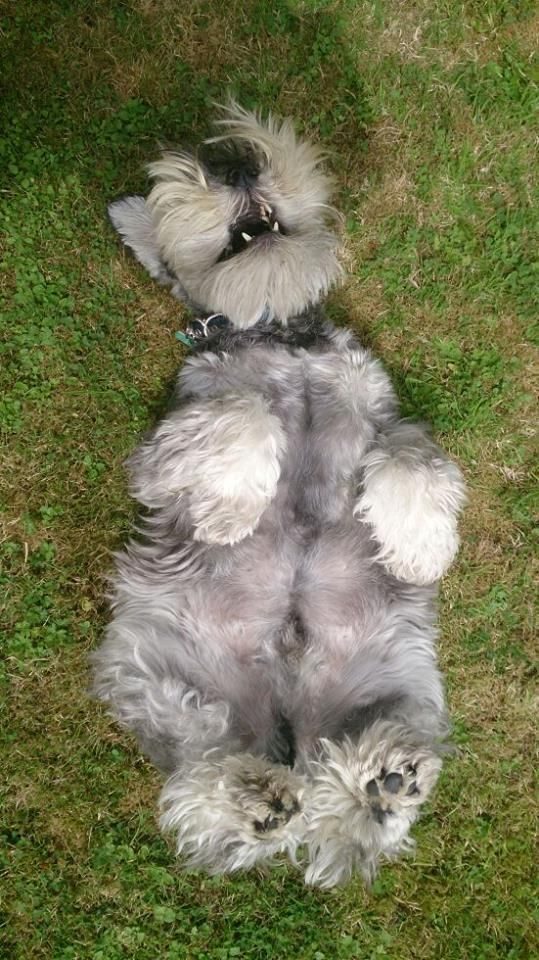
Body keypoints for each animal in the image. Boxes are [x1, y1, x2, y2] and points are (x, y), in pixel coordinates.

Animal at [90, 103, 466, 884]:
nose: (236, 164)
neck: (279, 333)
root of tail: (292, 728)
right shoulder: (163, 447)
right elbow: (247, 415)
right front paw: (230, 512)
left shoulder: (387, 413)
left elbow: (413, 458)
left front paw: (417, 547)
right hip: (152, 675)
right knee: (197, 761)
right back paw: (251, 801)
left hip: (403, 686)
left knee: (357, 792)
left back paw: (378, 786)